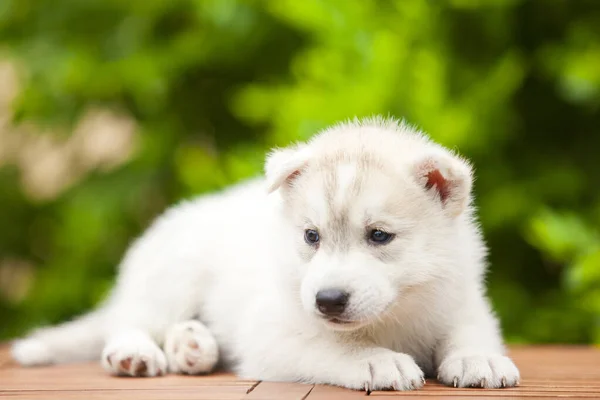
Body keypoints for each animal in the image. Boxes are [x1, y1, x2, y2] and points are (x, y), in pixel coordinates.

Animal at [10, 115, 520, 390]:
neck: (393, 317)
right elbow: (332, 345)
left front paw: (479, 359)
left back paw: (192, 347)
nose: (327, 300)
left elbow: (470, 330)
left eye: (379, 236)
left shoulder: (462, 299)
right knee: (129, 322)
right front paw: (375, 359)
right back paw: (137, 352)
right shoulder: (273, 332)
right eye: (311, 237)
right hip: (172, 276)